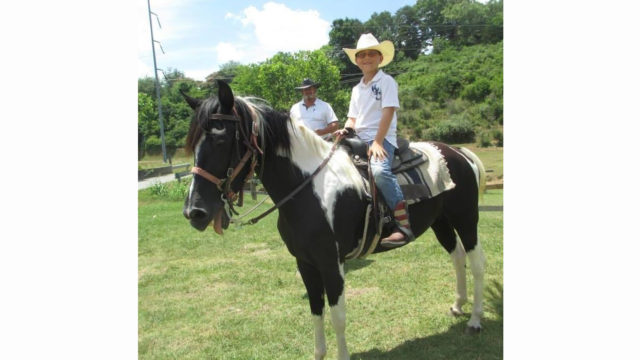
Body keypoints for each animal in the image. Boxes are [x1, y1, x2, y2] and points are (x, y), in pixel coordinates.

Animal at [180, 81, 484, 360]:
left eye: (220, 139)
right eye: (193, 143)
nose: (195, 212)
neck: (308, 189)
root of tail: (458, 152)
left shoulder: (331, 264)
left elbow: (338, 316)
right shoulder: (305, 263)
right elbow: (316, 310)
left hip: (466, 217)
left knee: (475, 261)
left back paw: (475, 320)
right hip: (440, 221)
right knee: (457, 256)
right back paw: (458, 305)